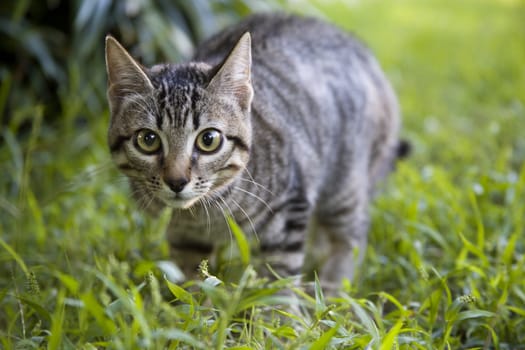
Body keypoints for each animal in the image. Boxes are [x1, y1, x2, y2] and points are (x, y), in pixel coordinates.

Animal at [106, 13, 402, 292]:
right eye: (148, 140)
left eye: (208, 140)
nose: (177, 181)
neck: (204, 213)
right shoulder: (185, 239)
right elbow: (192, 282)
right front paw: (190, 305)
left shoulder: (288, 209)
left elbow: (279, 278)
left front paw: (282, 311)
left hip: (344, 187)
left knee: (350, 236)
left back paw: (334, 290)